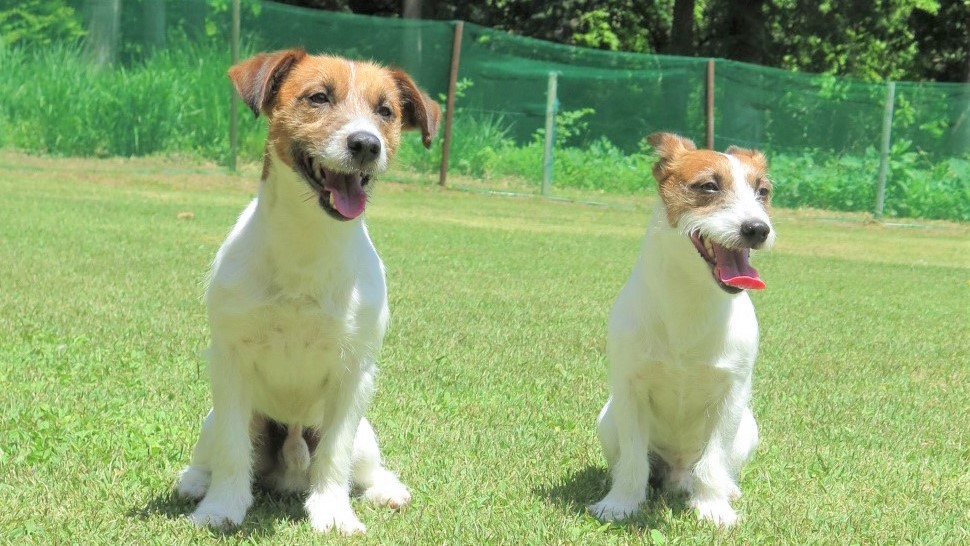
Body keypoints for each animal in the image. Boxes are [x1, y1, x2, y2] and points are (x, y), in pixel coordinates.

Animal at [176, 46, 440, 532]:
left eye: (385, 111)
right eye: (318, 97)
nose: (366, 144)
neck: (306, 244)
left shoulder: (354, 371)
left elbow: (334, 455)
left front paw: (333, 513)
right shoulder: (229, 361)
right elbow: (231, 452)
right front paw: (221, 507)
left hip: (366, 434)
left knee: (365, 466)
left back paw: (387, 490)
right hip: (214, 419)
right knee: (214, 451)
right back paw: (195, 481)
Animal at [588, 131, 776, 524]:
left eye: (763, 191)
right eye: (708, 186)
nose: (757, 229)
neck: (691, 296)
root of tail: (675, 471)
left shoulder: (731, 394)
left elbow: (714, 461)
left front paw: (713, 508)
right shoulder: (629, 390)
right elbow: (633, 459)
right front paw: (621, 504)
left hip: (747, 428)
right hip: (607, 420)